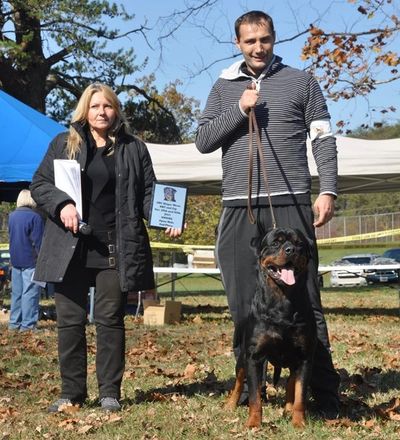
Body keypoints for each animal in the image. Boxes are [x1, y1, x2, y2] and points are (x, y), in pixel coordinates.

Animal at [227, 229, 318, 428]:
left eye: (299, 244)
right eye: (276, 243)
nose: (291, 250)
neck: (282, 301)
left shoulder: (304, 358)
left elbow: (300, 395)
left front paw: (299, 423)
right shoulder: (254, 357)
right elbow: (255, 397)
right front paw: (254, 423)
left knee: (291, 384)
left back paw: (288, 409)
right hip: (242, 358)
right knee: (238, 382)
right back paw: (229, 404)